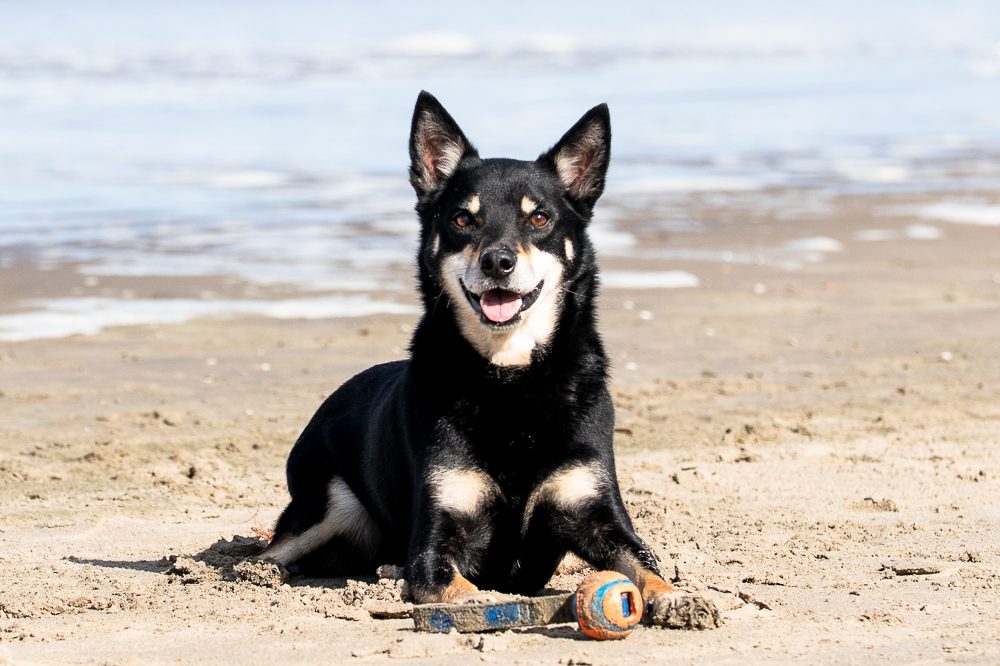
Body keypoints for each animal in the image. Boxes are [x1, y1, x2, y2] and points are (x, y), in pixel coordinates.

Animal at [262, 89, 720, 628]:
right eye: (463, 219)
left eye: (539, 218)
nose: (497, 261)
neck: (511, 377)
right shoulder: (436, 539)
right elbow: (455, 584)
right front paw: (478, 604)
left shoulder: (597, 515)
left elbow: (643, 562)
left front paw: (676, 596)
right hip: (328, 501)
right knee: (272, 547)